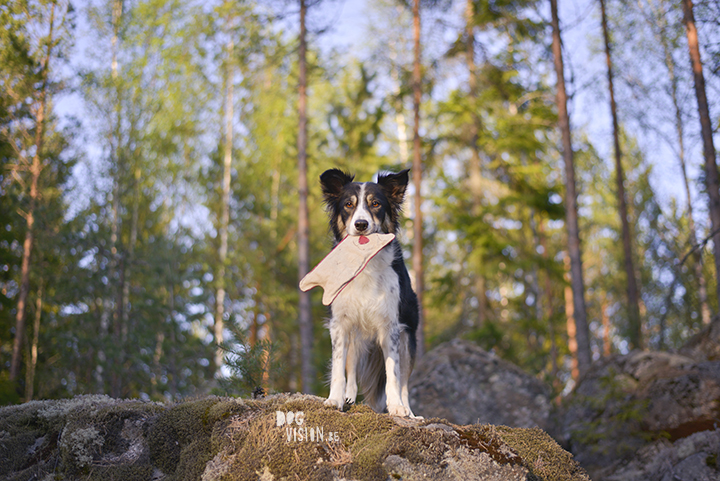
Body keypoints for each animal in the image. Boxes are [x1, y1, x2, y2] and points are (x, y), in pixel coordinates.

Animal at [318, 169, 420, 416]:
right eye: (348, 204)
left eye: (375, 204)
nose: (361, 224)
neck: (364, 261)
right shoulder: (340, 323)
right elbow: (339, 367)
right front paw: (334, 400)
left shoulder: (391, 326)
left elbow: (393, 372)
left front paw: (396, 407)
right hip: (356, 336)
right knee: (352, 368)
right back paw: (349, 398)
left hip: (408, 337)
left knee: (404, 380)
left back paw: (409, 411)